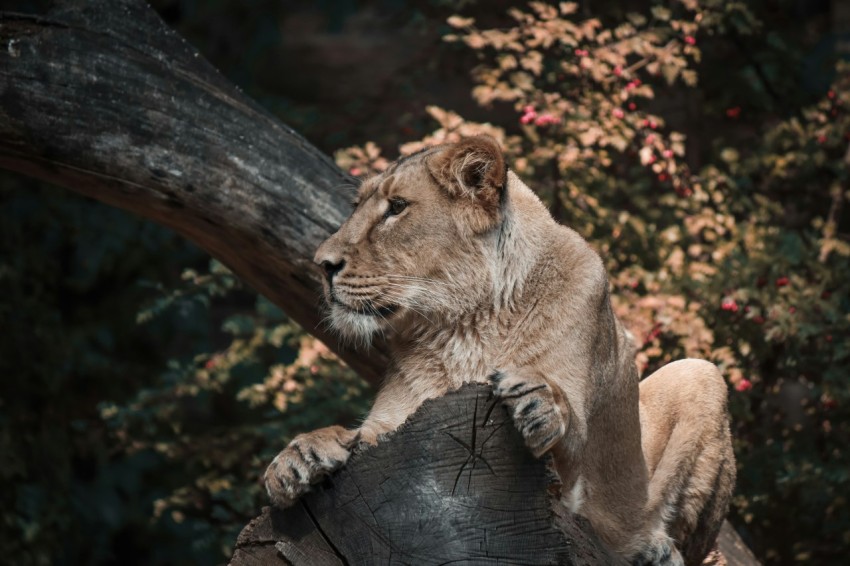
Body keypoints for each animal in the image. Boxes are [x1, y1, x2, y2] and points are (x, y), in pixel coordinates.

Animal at [264, 136, 735, 565]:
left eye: (397, 207)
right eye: (357, 205)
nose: (321, 264)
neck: (466, 324)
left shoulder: (568, 489)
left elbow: (562, 427)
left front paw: (539, 402)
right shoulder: (392, 426)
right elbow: (355, 435)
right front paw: (298, 458)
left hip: (700, 374)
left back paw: (655, 549)